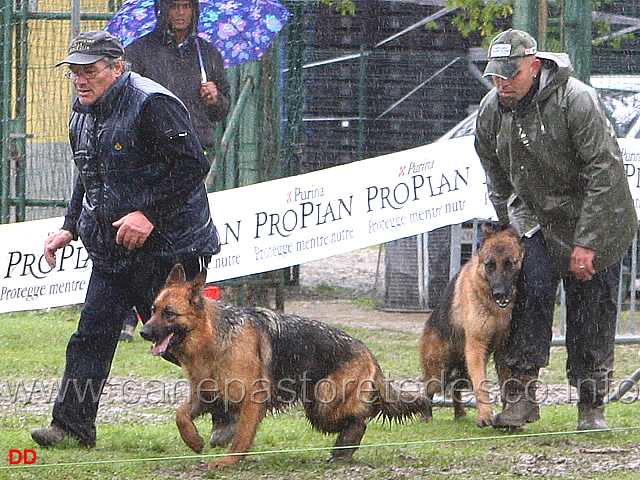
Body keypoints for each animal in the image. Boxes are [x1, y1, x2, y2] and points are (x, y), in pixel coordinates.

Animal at [140, 264, 430, 466]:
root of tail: (367, 350)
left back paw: (344, 448)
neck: (212, 337)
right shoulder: (207, 392)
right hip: (318, 406)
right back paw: (342, 451)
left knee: (360, 420)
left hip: (324, 405)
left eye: (169, 313)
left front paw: (229, 461)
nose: (143, 333)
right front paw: (194, 440)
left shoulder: (252, 399)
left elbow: (242, 435)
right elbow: (180, 415)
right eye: (153, 310)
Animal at [418, 225, 524, 428]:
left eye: (510, 264)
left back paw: (459, 413)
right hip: (438, 370)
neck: (494, 309)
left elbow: (506, 384)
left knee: (456, 388)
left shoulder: (503, 351)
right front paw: (485, 415)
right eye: (490, 265)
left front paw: (508, 415)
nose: (499, 293)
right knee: (428, 389)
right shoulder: (476, 347)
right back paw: (426, 416)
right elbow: (481, 384)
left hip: (462, 370)